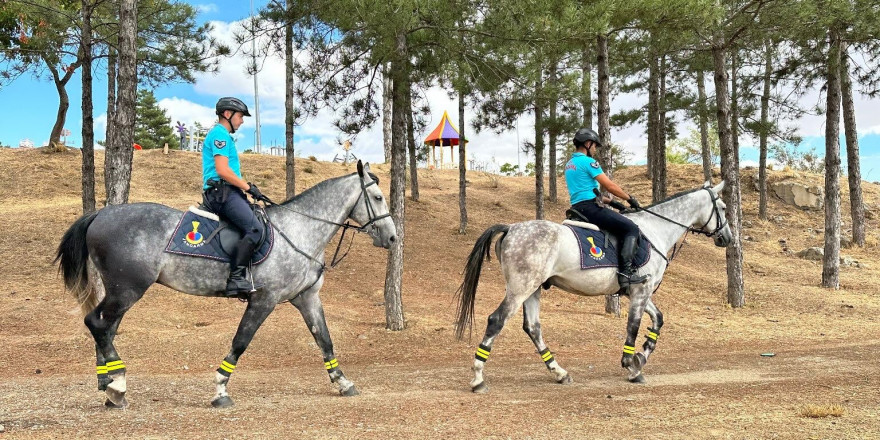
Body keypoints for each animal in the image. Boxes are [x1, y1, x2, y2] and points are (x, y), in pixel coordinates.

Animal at [55, 162, 396, 410]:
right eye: (378, 198)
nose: (392, 238)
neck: (299, 230)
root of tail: (102, 213)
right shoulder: (264, 300)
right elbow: (240, 342)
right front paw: (220, 390)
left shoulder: (306, 297)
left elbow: (324, 340)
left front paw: (343, 382)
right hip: (126, 289)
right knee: (97, 323)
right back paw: (118, 385)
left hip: (121, 291)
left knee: (105, 327)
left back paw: (110, 385)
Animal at [458, 181, 732, 392]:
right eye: (723, 207)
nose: (727, 238)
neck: (655, 230)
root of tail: (511, 228)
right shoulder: (640, 291)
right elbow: (633, 326)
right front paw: (632, 365)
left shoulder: (638, 291)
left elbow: (658, 320)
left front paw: (641, 355)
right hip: (520, 289)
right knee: (496, 320)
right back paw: (478, 378)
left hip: (532, 289)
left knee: (533, 328)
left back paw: (559, 373)